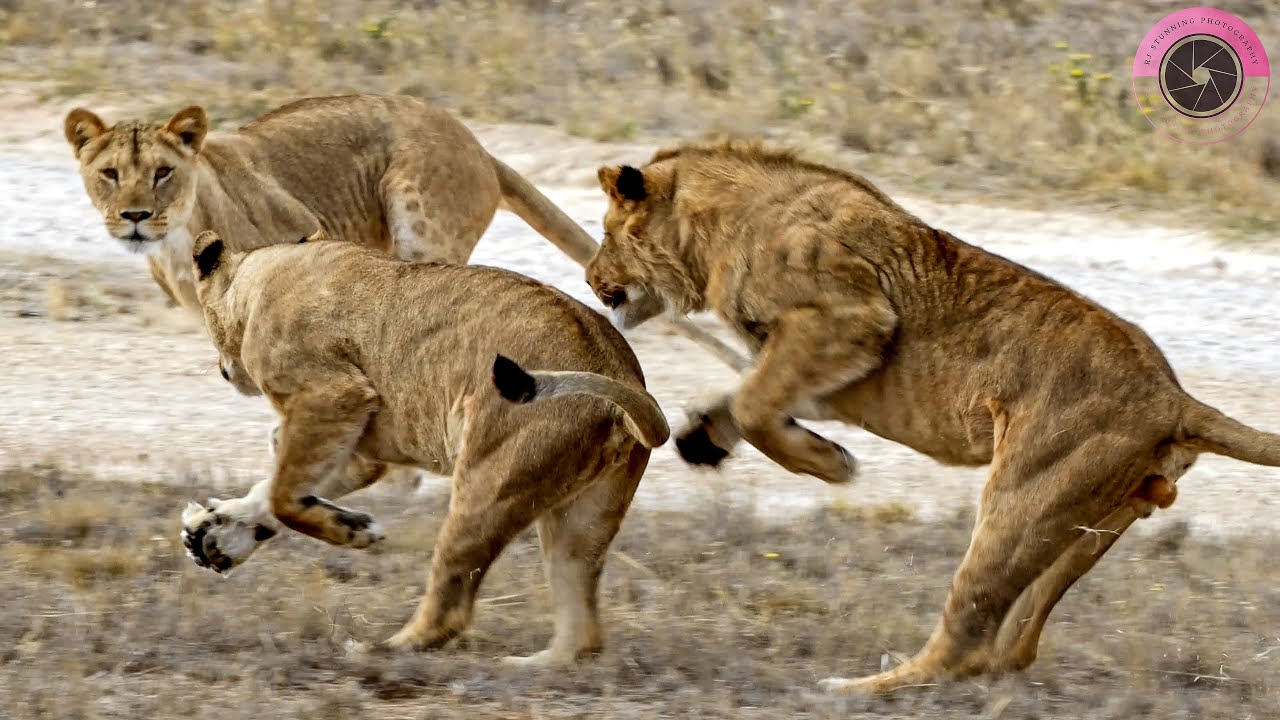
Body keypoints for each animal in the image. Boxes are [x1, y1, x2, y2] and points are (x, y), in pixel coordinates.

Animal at [178, 228, 669, 665]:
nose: (222, 369)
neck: (263, 274)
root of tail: (623, 376)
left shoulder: (332, 397)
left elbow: (283, 496)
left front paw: (352, 531)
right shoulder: (358, 447)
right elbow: (276, 490)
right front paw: (213, 534)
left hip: (486, 487)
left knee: (451, 607)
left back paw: (377, 651)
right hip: (581, 519)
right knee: (583, 634)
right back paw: (531, 666)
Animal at [583, 140, 1280, 693]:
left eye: (608, 233)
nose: (590, 279)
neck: (719, 228)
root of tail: (1172, 396)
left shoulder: (851, 320)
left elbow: (755, 402)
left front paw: (830, 465)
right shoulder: (828, 368)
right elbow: (747, 394)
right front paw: (704, 436)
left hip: (1021, 498)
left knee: (965, 641)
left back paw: (854, 690)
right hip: (1090, 525)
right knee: (1009, 646)